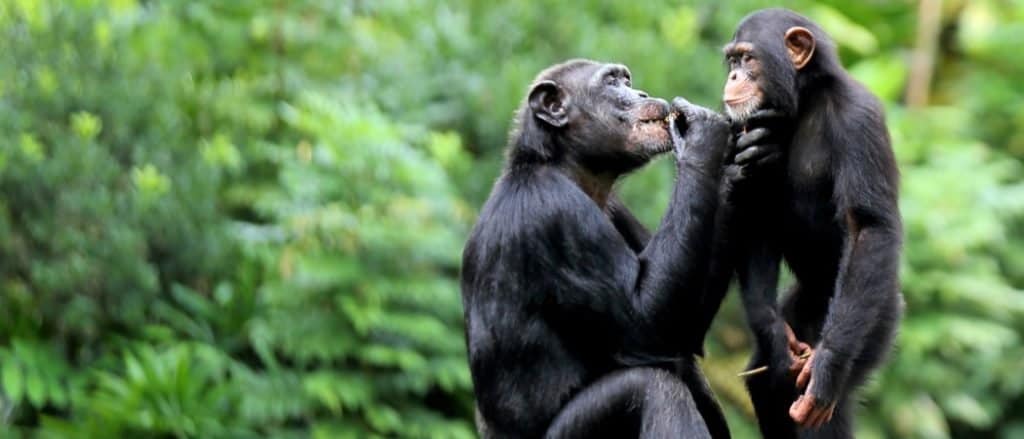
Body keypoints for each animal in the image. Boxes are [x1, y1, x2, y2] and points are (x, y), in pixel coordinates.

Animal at [462, 59, 774, 437]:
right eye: (612, 82)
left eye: (627, 80)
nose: (639, 93)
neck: (564, 167)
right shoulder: (555, 212)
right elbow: (647, 323)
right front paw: (702, 135)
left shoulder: (618, 209)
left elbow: (685, 327)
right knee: (651, 386)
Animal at [720, 7, 905, 437]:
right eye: (732, 61)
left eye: (748, 59)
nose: (733, 77)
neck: (806, 100)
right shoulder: (750, 128)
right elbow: (757, 217)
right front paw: (772, 331)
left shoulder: (859, 120)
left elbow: (867, 227)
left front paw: (828, 368)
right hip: (803, 306)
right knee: (768, 381)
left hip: (877, 316)